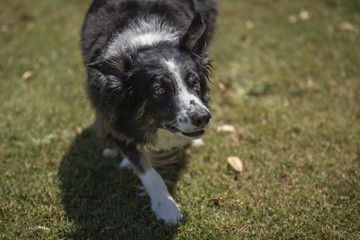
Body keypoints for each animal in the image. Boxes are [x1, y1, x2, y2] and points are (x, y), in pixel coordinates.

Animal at [80, 0, 218, 225]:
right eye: (160, 90)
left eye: (195, 82)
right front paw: (166, 207)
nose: (203, 118)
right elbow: (147, 171)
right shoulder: (113, 117)